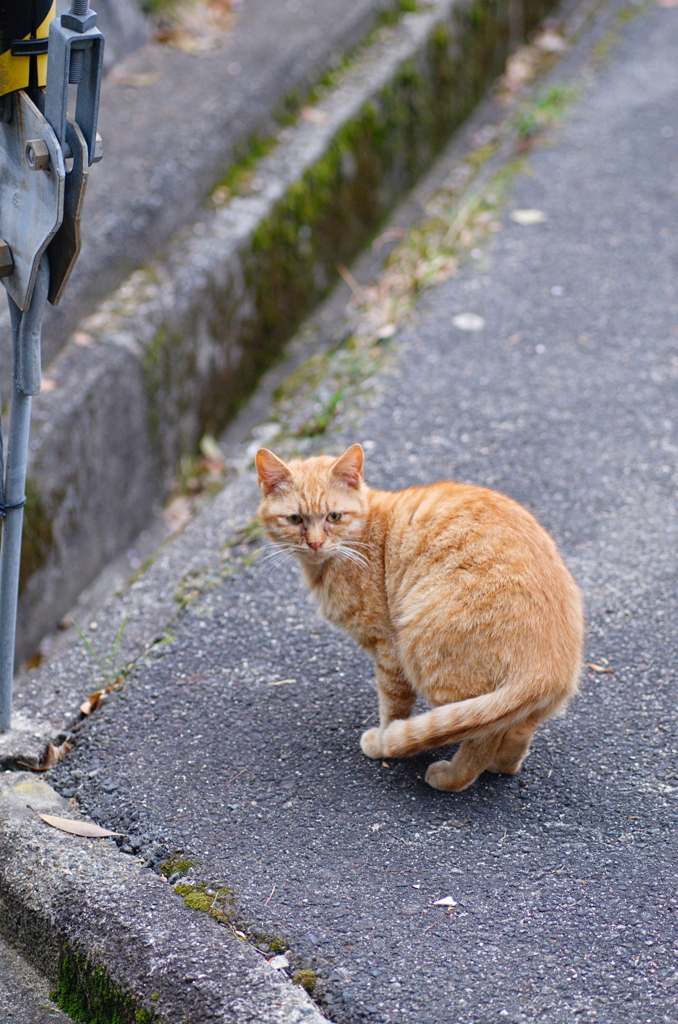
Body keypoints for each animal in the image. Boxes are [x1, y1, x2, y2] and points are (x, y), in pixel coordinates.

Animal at [255, 442, 585, 790]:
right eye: (294, 519)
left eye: (334, 516)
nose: (316, 543)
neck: (359, 538)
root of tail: (549, 666)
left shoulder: (388, 650)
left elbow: (392, 707)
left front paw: (380, 741)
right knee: (518, 729)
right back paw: (503, 765)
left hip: (425, 658)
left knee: (482, 736)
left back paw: (451, 777)